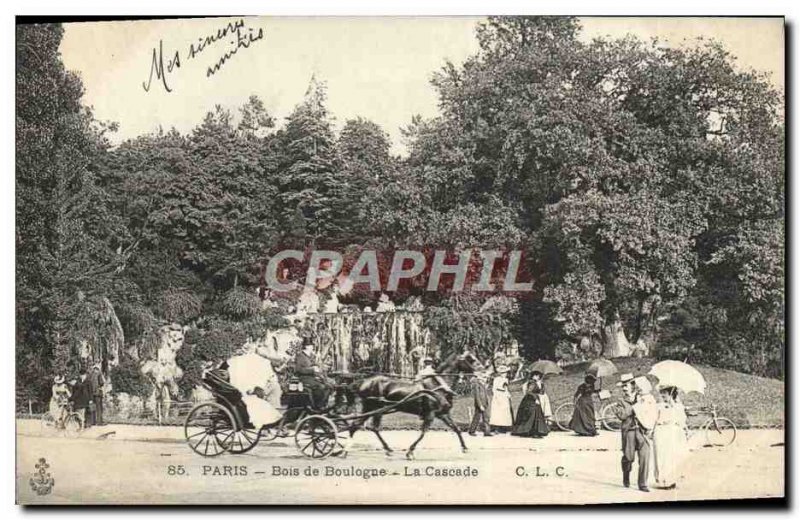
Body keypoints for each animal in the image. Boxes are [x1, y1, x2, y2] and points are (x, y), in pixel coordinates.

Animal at [348, 354, 476, 460]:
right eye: (468, 359)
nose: (475, 371)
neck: (437, 387)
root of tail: (364, 382)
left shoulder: (442, 414)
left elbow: (456, 428)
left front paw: (464, 447)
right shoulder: (430, 414)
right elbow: (423, 433)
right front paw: (410, 452)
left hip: (370, 408)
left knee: (358, 425)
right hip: (376, 408)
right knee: (372, 427)